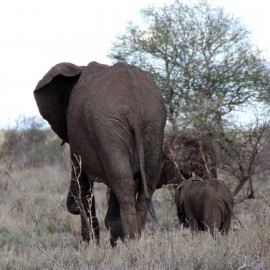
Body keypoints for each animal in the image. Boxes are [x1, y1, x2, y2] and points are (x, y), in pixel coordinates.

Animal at [33, 61, 167, 247]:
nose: (72, 207)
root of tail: (136, 112)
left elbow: (82, 180)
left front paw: (90, 247)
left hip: (111, 129)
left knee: (122, 183)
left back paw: (131, 242)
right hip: (151, 128)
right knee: (143, 182)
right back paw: (135, 241)